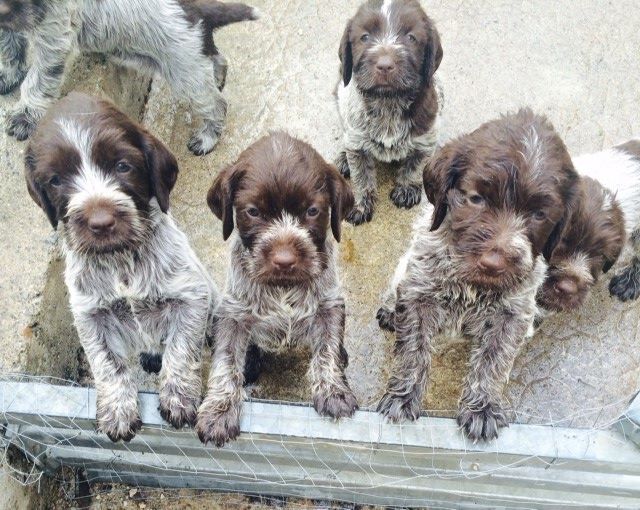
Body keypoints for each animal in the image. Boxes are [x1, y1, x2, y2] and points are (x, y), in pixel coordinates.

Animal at [0, 0, 258, 155]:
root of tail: (198, 12)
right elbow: (10, 47)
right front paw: (9, 76)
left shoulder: (53, 36)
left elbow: (39, 78)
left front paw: (25, 116)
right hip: (194, 61)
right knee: (218, 60)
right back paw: (219, 79)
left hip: (186, 75)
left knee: (217, 104)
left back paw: (206, 139)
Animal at [24, 92, 218, 442]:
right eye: (56, 180)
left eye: (122, 166)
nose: (101, 222)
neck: (120, 260)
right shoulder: (90, 315)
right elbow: (107, 363)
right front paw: (117, 411)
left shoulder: (190, 296)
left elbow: (181, 349)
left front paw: (179, 398)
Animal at [196, 131, 356, 446]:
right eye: (253, 211)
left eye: (312, 211)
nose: (284, 260)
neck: (282, 287)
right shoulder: (232, 314)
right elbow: (225, 361)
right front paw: (219, 412)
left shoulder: (329, 305)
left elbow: (327, 349)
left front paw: (333, 390)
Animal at [336, 0, 444, 225]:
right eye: (364, 37)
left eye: (411, 38)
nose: (385, 65)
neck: (388, 102)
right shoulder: (357, 143)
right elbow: (361, 177)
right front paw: (361, 204)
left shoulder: (425, 139)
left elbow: (415, 166)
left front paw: (407, 188)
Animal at [376, 108, 580, 442]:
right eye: (476, 198)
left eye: (539, 214)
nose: (495, 262)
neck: (472, 284)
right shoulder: (420, 292)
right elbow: (413, 349)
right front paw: (402, 397)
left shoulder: (512, 314)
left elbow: (493, 361)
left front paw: (483, 407)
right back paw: (390, 311)